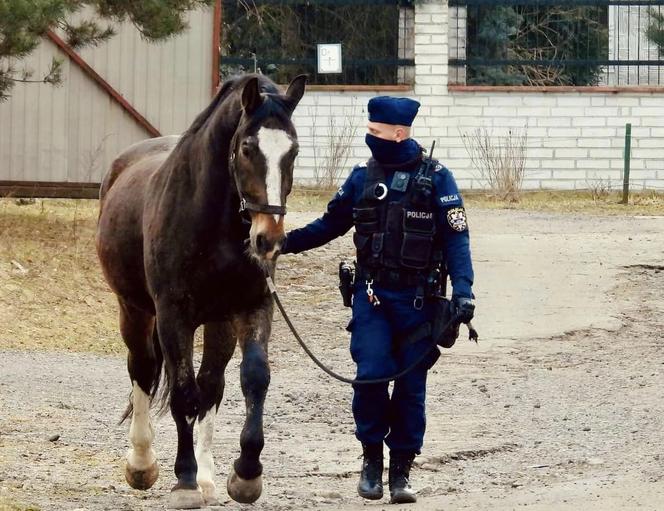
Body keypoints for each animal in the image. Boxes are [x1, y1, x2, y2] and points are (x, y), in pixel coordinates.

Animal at [95, 74, 306, 510]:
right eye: (247, 148)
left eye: (292, 150)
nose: (268, 239)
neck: (212, 224)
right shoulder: (173, 315)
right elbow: (181, 392)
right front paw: (184, 480)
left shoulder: (253, 306)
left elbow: (253, 380)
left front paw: (245, 474)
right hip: (134, 311)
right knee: (142, 369)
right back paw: (142, 463)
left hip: (218, 321)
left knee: (212, 385)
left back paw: (208, 476)